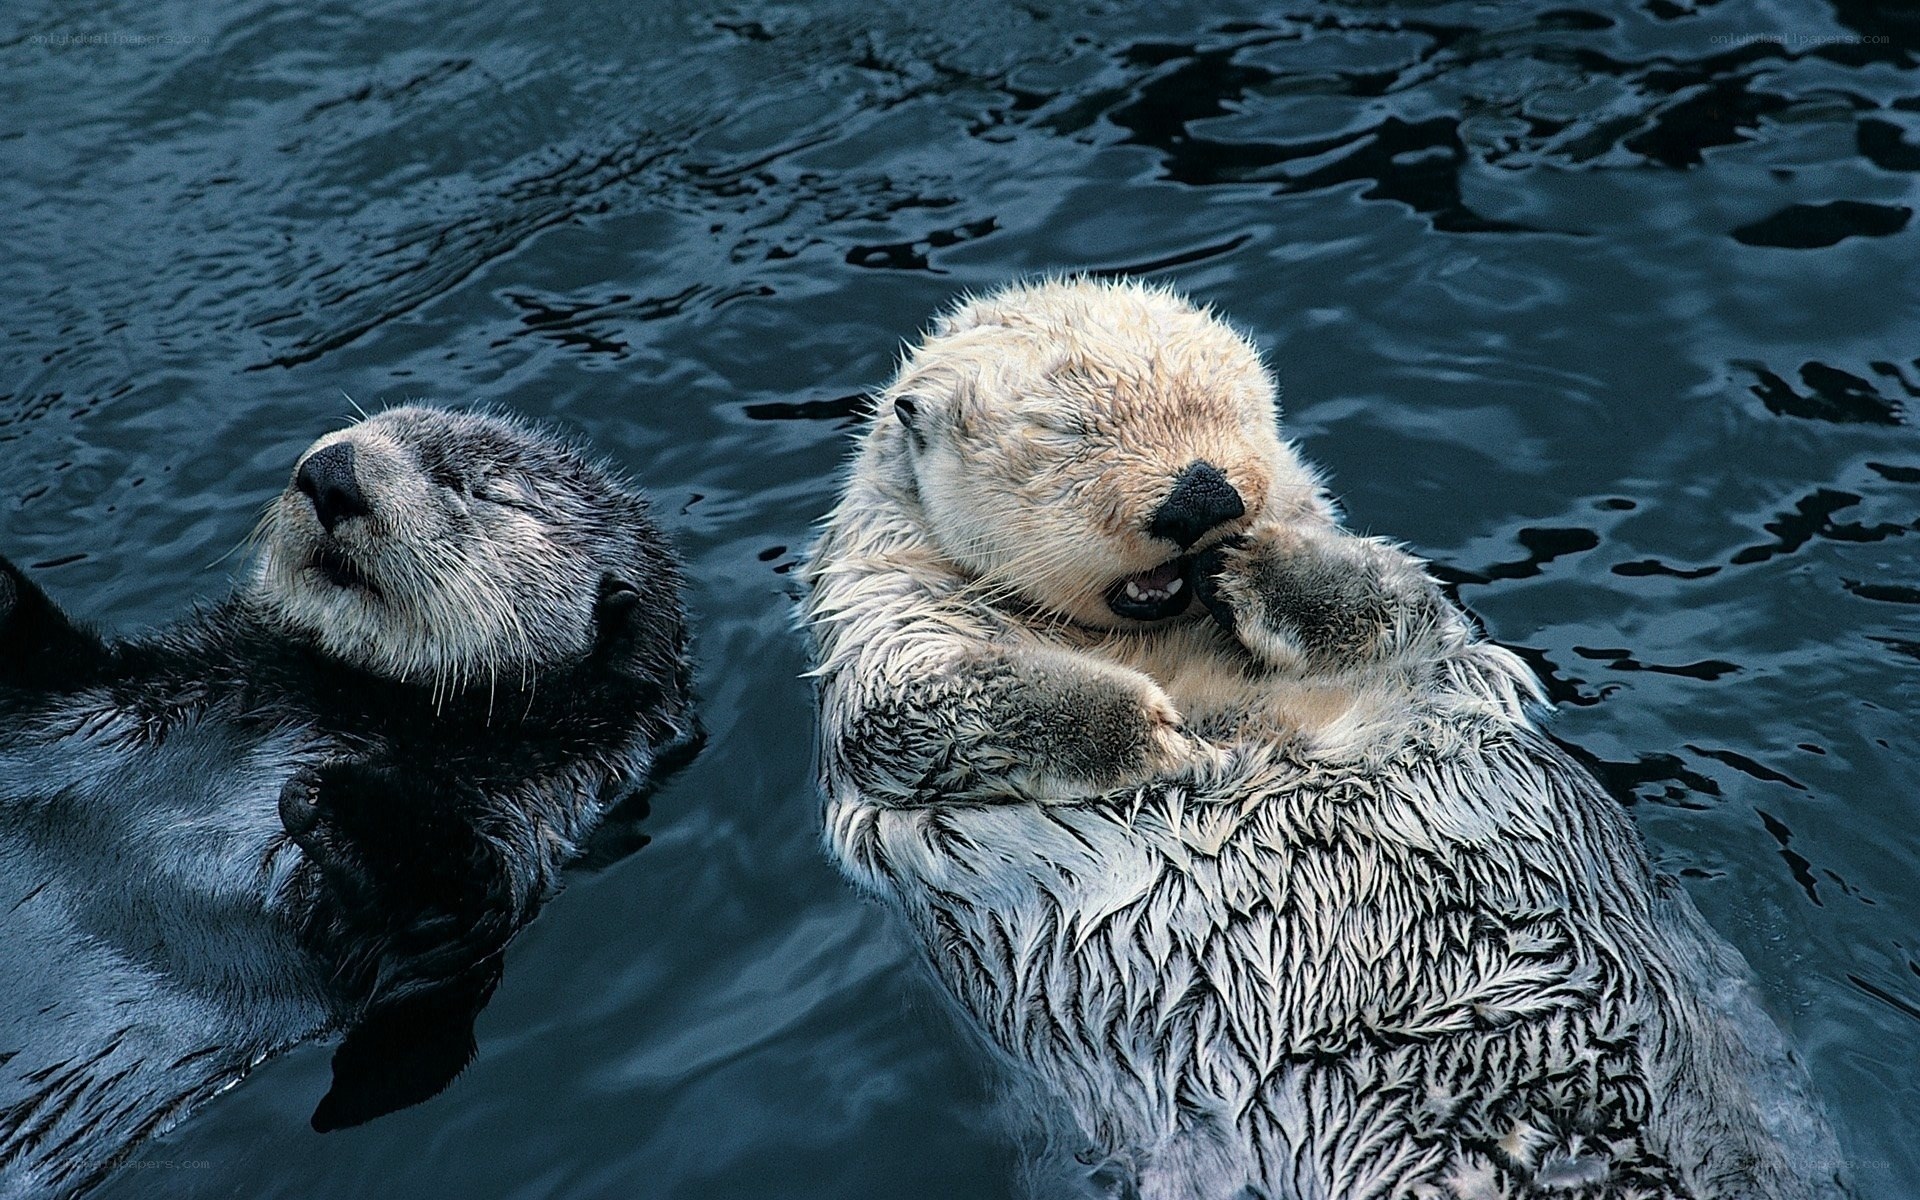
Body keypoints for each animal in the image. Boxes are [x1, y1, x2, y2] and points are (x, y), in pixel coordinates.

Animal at [0, 405, 695, 1198]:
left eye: (477, 489)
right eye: (371, 423)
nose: (331, 471)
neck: (350, 700)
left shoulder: (525, 820)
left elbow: (447, 912)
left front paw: (339, 800)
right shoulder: (111, 690)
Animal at [803, 279, 1846, 1199]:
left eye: (1229, 407)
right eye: (1067, 433)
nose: (1202, 498)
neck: (1158, 642)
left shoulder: (1413, 631)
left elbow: (1396, 602)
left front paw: (1257, 567)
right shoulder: (883, 626)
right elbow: (914, 709)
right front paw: (1157, 734)